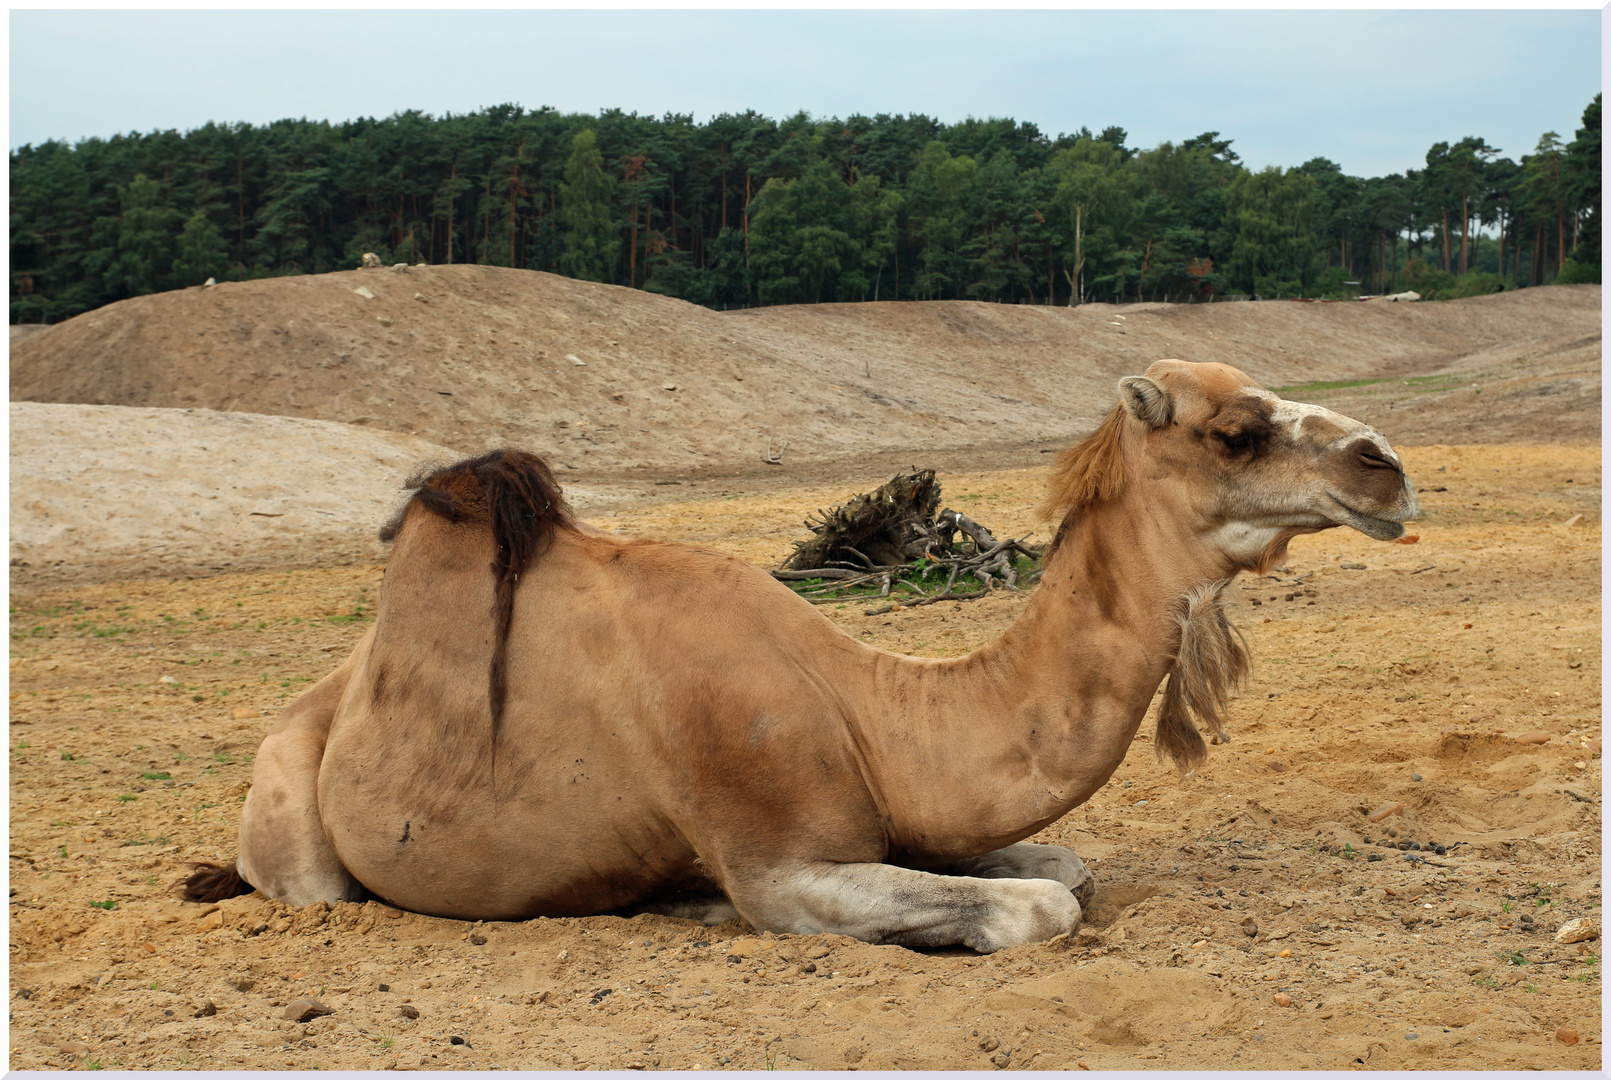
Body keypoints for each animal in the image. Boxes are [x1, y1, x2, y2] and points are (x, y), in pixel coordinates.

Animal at [188, 359, 1417, 954]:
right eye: (1233, 432)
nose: (1387, 467)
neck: (867, 705)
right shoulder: (780, 857)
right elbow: (1037, 908)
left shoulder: (896, 820)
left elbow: (1064, 867)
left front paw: (678, 896)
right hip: (295, 832)